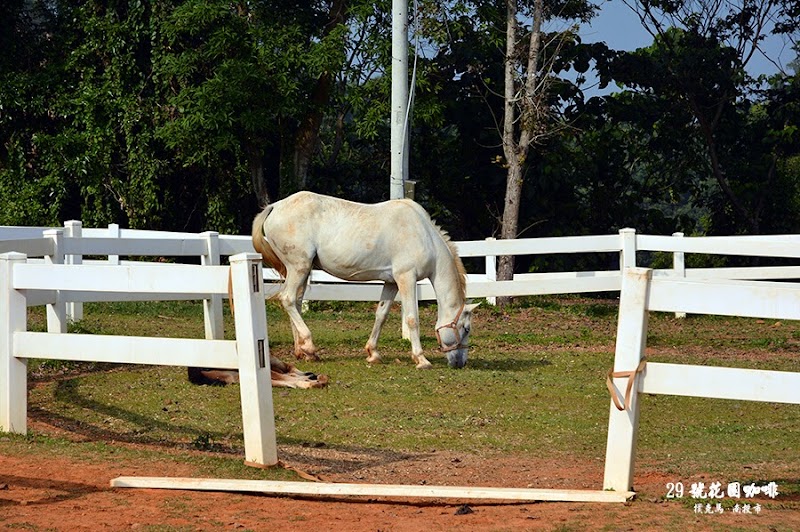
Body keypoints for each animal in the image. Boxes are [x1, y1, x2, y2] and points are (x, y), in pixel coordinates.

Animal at [252, 191, 476, 370]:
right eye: (466, 328)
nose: (460, 363)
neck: (424, 234)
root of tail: (275, 206)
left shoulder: (391, 282)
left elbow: (381, 314)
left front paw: (373, 353)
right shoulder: (406, 278)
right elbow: (412, 319)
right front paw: (421, 359)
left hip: (302, 271)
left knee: (296, 303)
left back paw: (303, 352)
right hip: (299, 267)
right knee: (288, 299)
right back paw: (309, 344)